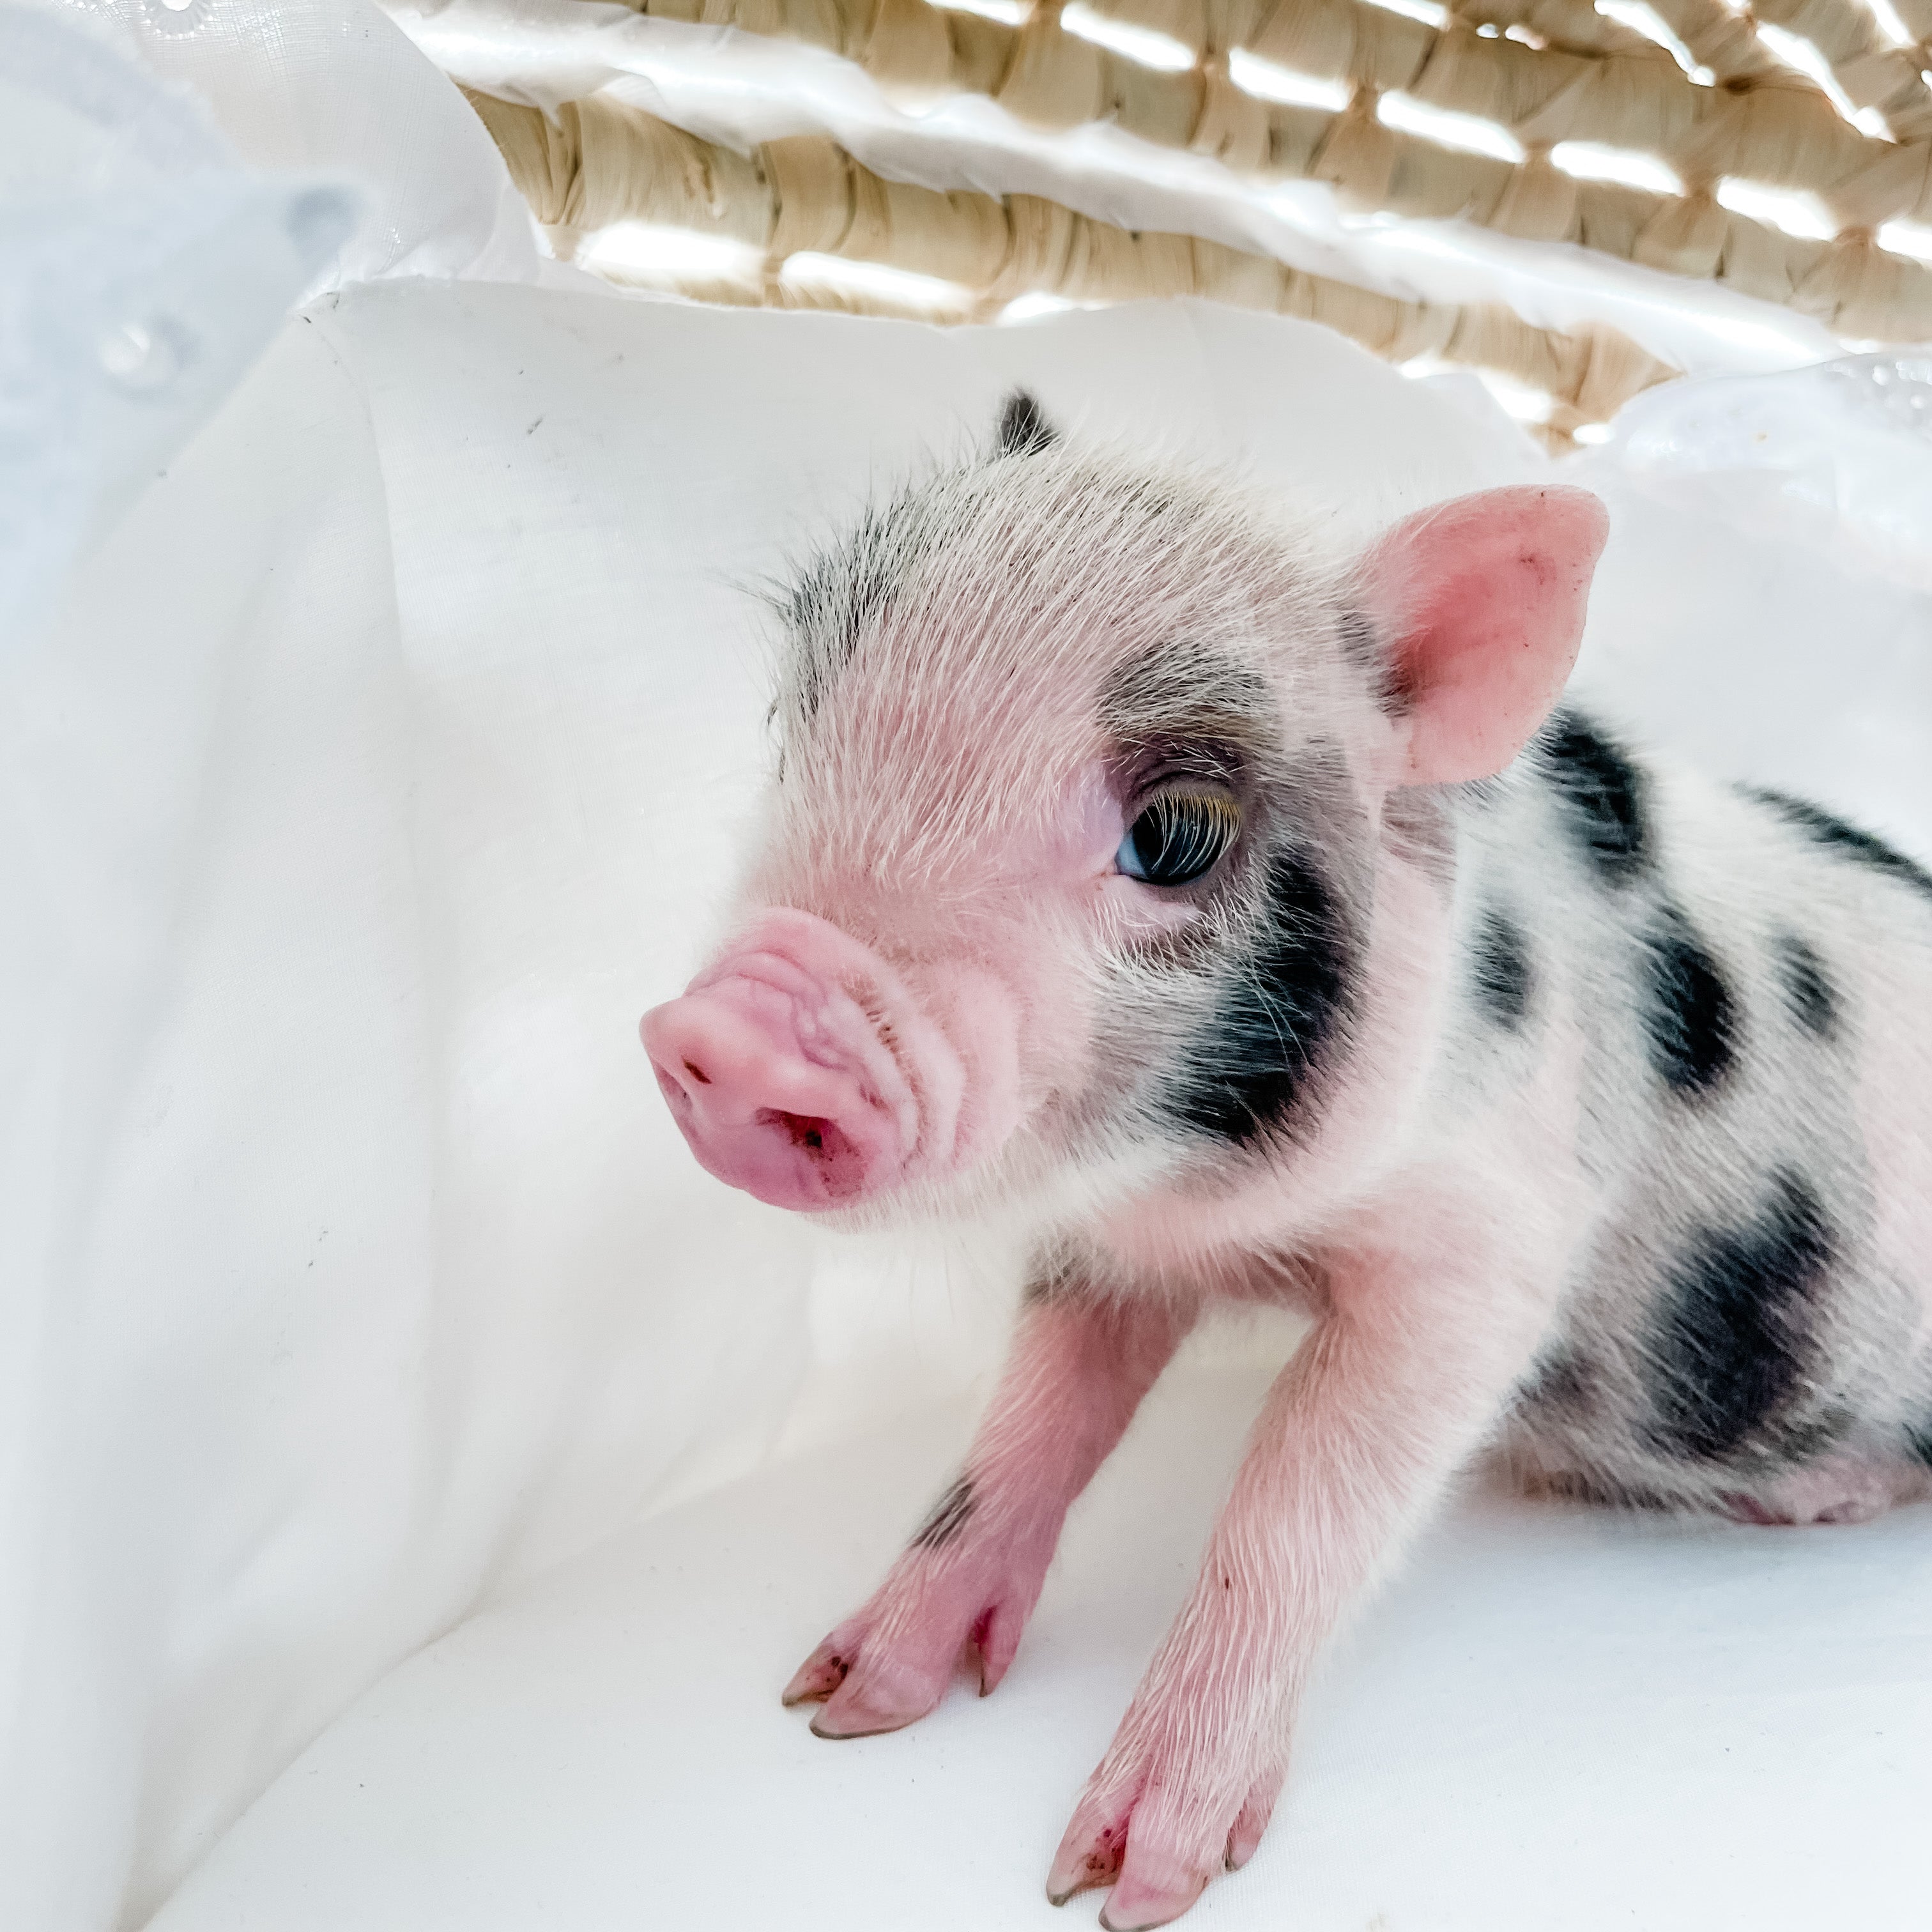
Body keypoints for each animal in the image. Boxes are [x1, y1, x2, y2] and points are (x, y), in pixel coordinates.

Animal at [640, 393, 1932, 1929]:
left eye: (1173, 834)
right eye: (793, 717)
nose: (740, 1030)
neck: (1209, 1193)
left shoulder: (1482, 1261)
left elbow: (1290, 1515)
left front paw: (1117, 1883)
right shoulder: (1105, 1243)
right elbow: (1025, 1428)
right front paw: (842, 1704)